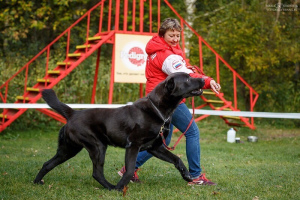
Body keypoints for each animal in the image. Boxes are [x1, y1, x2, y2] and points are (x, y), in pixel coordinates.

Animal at [34, 72, 205, 191]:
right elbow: (129, 170)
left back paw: (37, 182)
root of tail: (73, 113)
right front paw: (120, 187)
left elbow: (177, 159)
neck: (159, 110)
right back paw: (111, 187)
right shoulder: (133, 145)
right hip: (97, 146)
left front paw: (187, 175)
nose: (204, 79)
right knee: (97, 172)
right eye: (188, 79)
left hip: (69, 149)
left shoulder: (155, 147)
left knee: (47, 163)